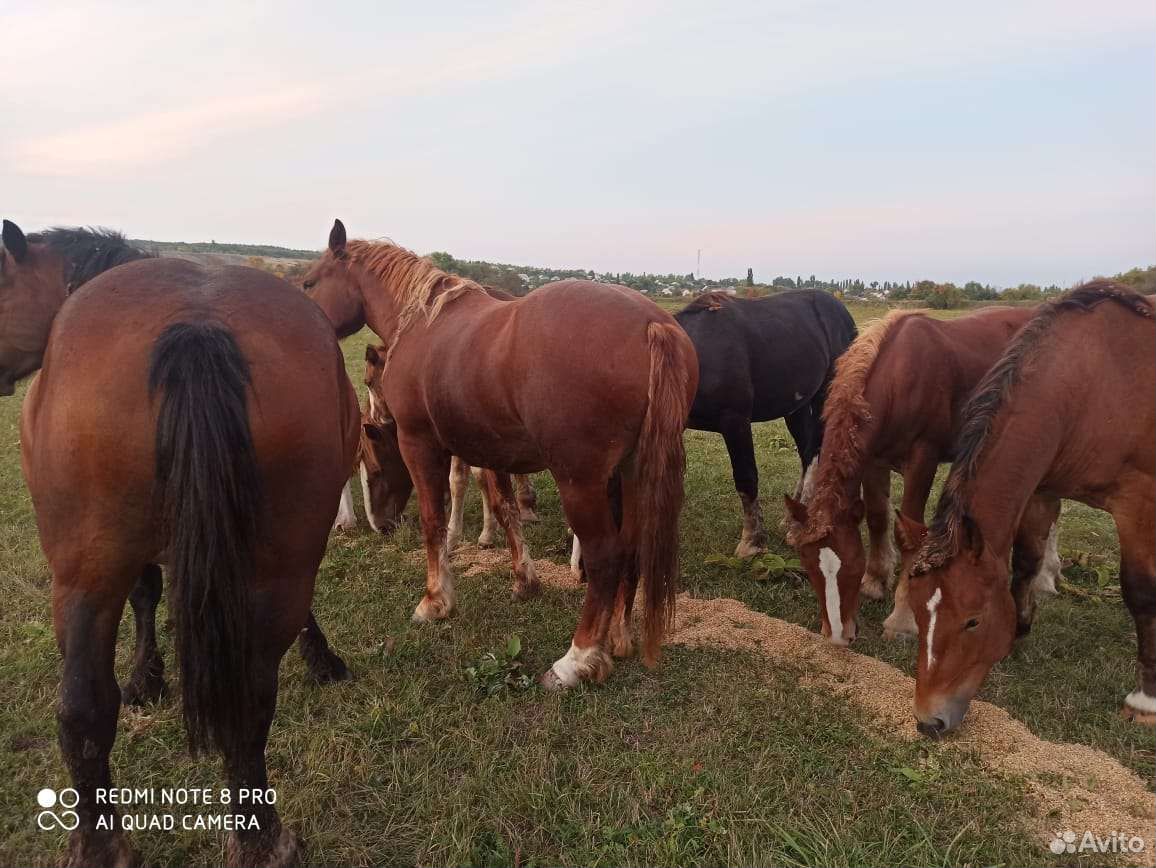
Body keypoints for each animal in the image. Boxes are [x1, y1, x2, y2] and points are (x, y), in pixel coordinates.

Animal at [302, 221, 693, 684]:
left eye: (310, 283)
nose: (382, 526)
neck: (421, 321)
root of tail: (652, 324)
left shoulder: (420, 443)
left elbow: (433, 520)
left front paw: (435, 601)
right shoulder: (490, 450)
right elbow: (506, 509)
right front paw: (524, 580)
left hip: (581, 481)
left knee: (605, 557)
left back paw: (576, 660)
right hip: (631, 473)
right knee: (631, 549)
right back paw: (616, 637)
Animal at [675, 286, 855, 557]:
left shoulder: (735, 421)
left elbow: (746, 478)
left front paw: (753, 542)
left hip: (826, 399)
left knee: (816, 451)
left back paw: (802, 526)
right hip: (796, 409)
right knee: (806, 453)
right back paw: (794, 515)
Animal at [781, 305, 1058, 647]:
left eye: (852, 567)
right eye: (809, 567)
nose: (836, 635)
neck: (899, 378)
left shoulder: (922, 460)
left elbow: (908, 535)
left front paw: (902, 619)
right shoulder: (874, 460)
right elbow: (877, 517)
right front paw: (876, 581)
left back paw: (1046, 576)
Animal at [906, 282, 1151, 735]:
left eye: (973, 620)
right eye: (915, 611)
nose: (930, 721)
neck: (1093, 386)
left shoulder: (1138, 503)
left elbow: (1141, 591)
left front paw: (1145, 701)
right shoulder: (1042, 489)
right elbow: (1025, 562)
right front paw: (1019, 631)